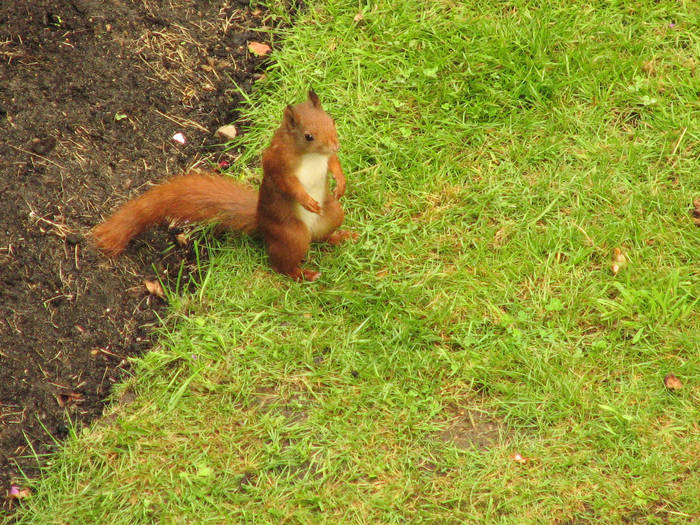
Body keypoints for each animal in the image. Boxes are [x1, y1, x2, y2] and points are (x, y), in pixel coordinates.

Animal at [91, 91, 356, 278]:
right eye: (309, 136)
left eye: (331, 120)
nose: (335, 144)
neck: (310, 155)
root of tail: (261, 223)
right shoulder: (278, 163)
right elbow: (288, 184)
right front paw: (307, 200)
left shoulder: (326, 159)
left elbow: (334, 164)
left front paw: (340, 183)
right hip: (292, 235)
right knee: (281, 264)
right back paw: (303, 274)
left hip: (333, 214)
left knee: (321, 237)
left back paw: (341, 237)